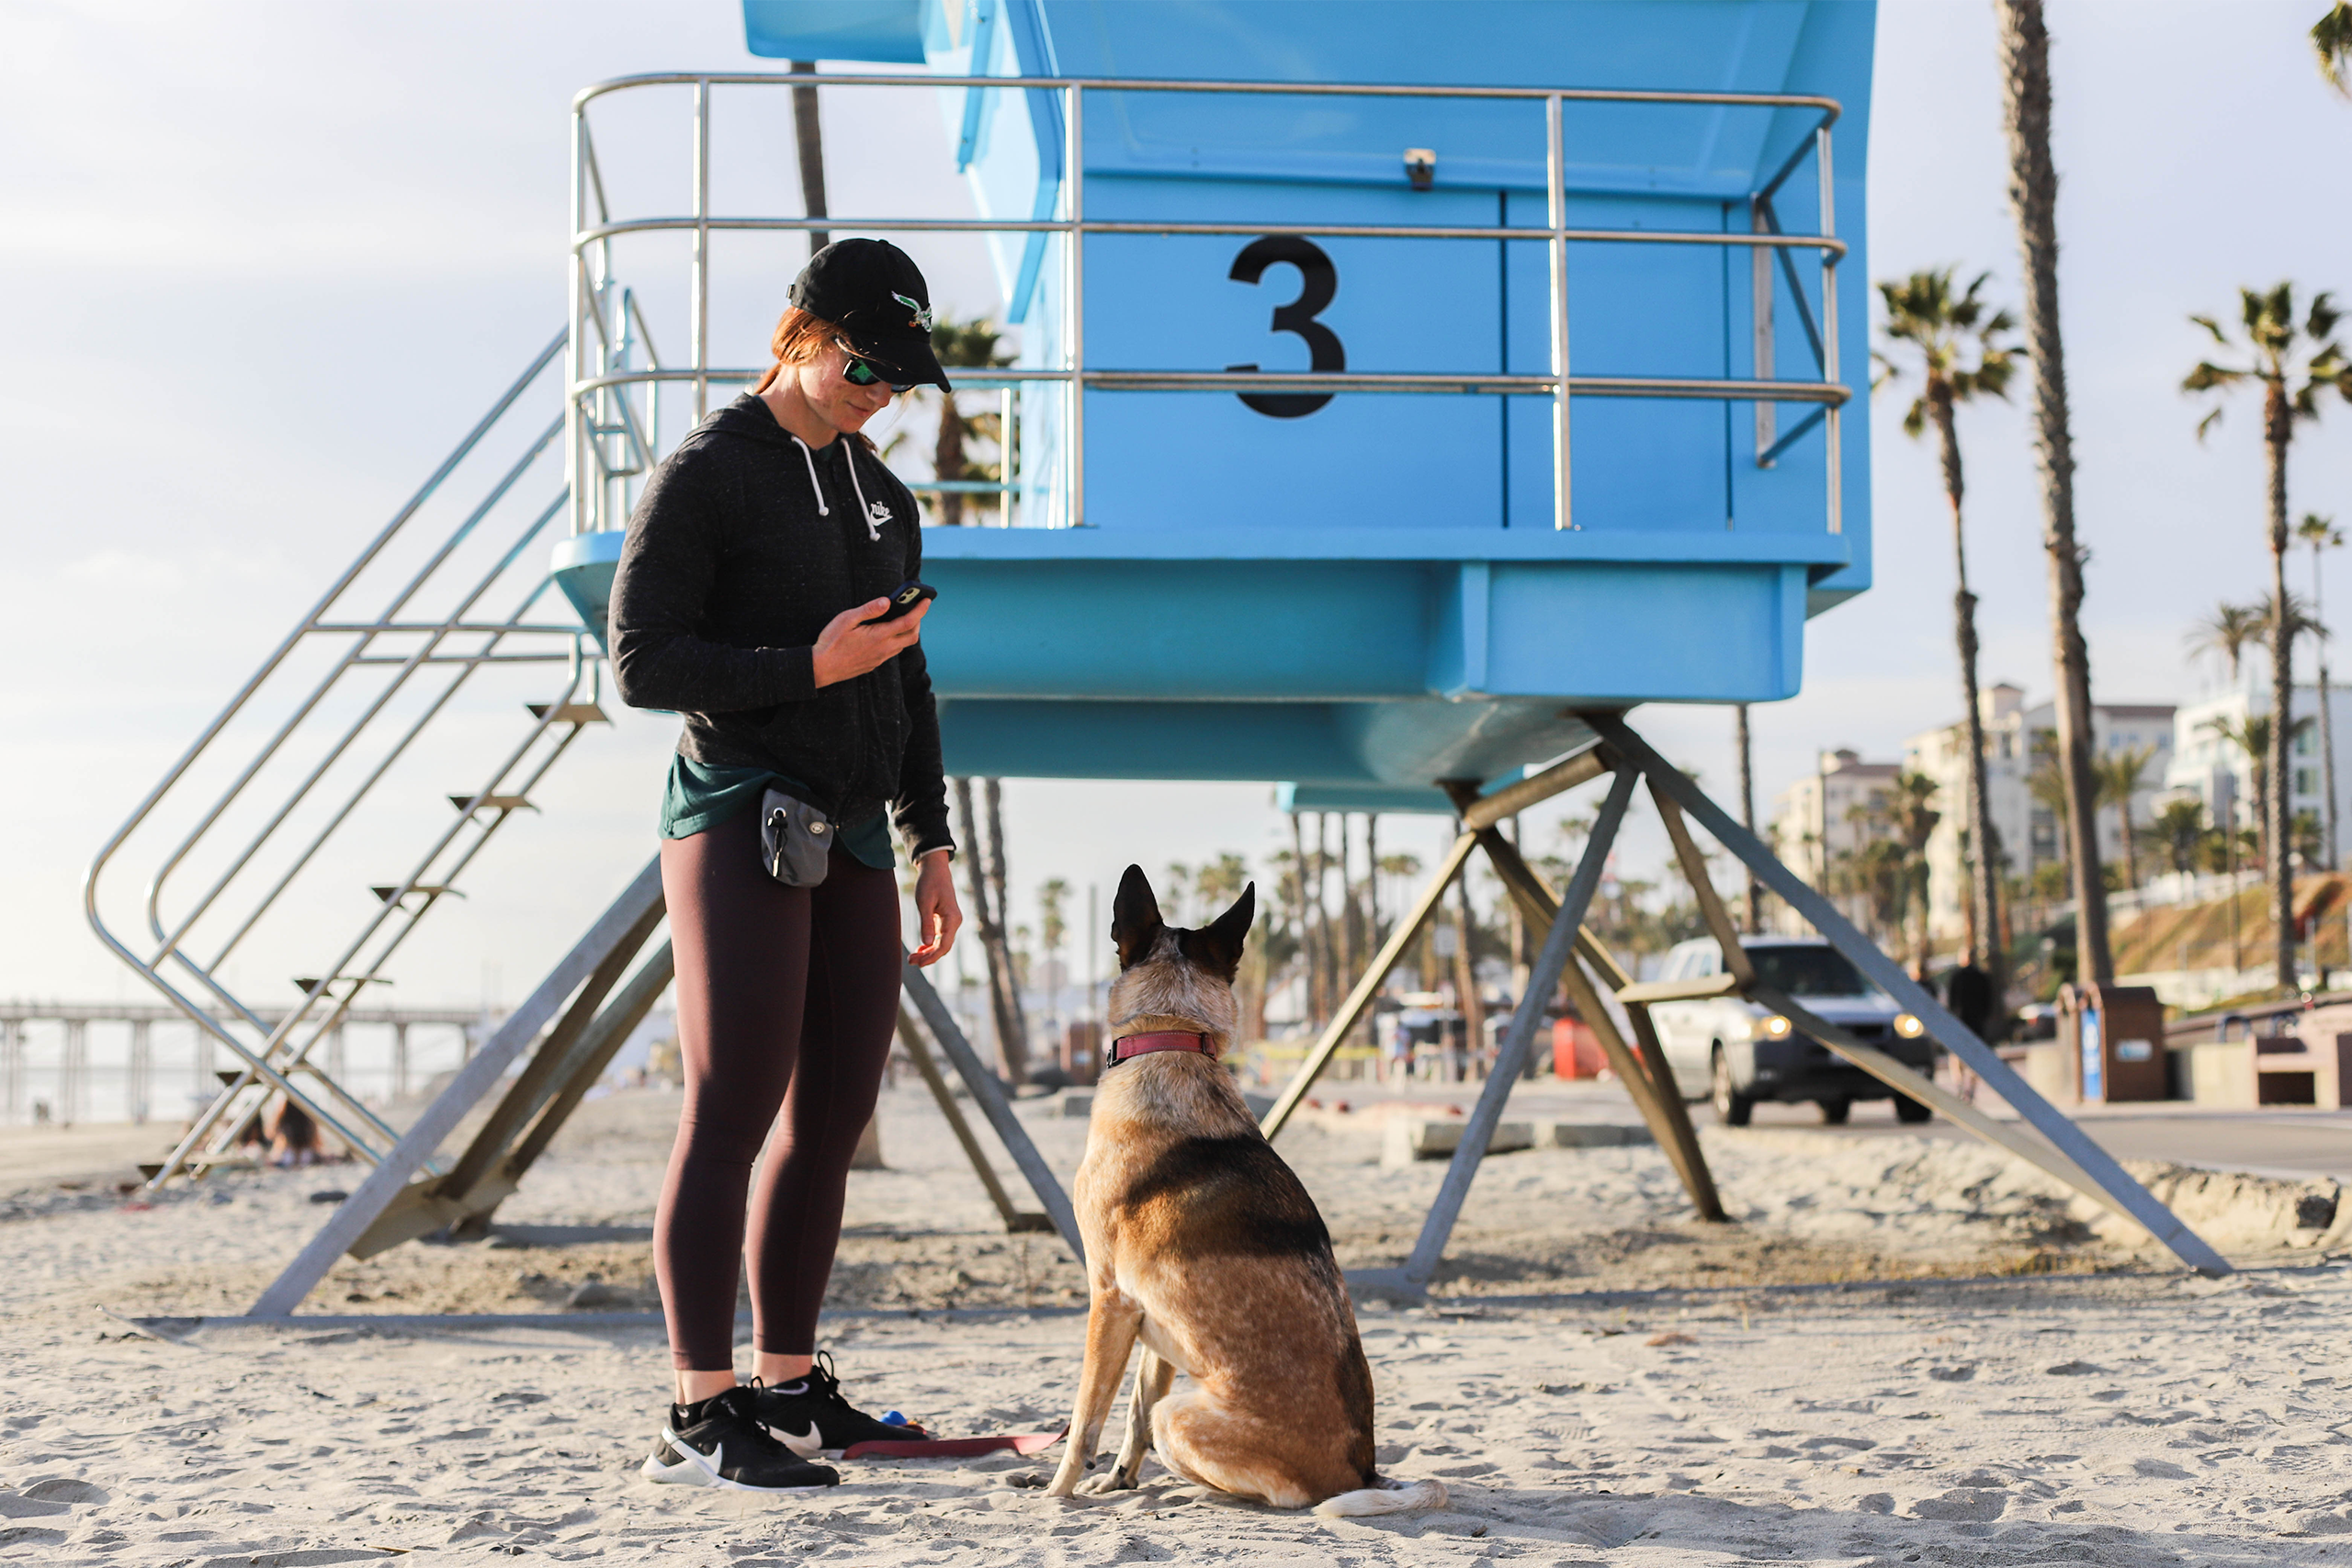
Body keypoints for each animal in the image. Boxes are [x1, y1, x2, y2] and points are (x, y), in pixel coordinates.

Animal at [1053, 864, 1448, 1514]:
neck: (1174, 1039)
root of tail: (1362, 1473)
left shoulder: (1108, 1299)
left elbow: (1086, 1419)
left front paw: (1055, 1494)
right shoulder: (1149, 1322)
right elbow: (1131, 1414)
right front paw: (1116, 1482)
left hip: (1180, 1417)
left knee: (1274, 1493)